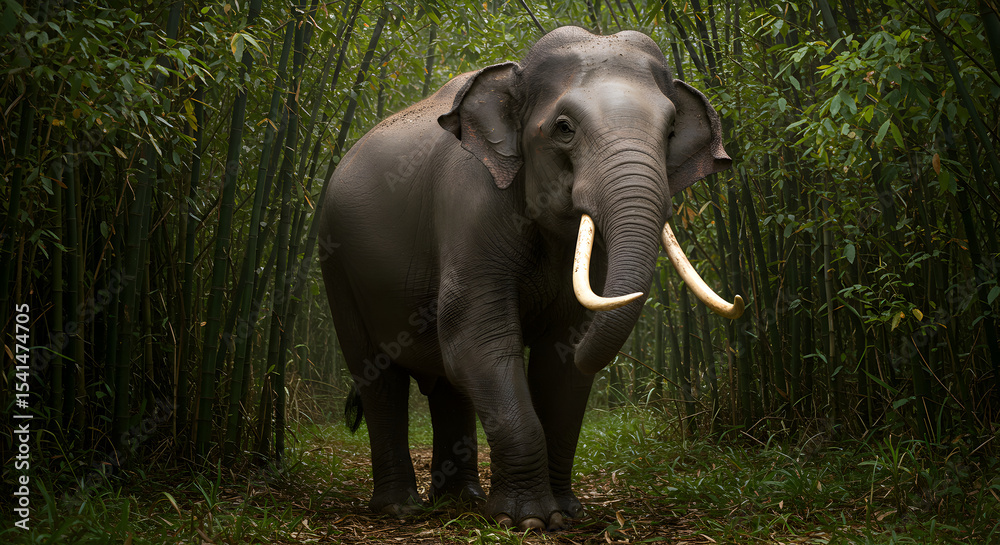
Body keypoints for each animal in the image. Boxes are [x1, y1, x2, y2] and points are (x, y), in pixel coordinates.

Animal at [318, 26, 743, 531]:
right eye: (564, 128)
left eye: (672, 129)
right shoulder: (469, 206)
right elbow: (477, 339)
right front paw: (525, 520)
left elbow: (561, 358)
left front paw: (566, 514)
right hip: (336, 265)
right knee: (379, 380)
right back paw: (401, 508)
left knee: (446, 383)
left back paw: (459, 500)